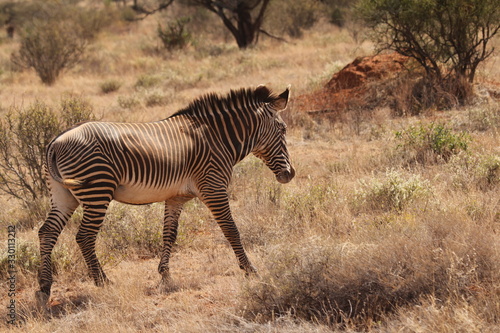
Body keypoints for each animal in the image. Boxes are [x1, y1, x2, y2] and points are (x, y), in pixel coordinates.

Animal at [37, 85, 294, 300]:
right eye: (283, 129)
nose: (289, 174)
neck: (217, 138)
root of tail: (55, 142)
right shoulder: (213, 187)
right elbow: (231, 230)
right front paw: (250, 270)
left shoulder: (175, 197)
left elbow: (169, 234)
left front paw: (165, 275)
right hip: (97, 190)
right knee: (85, 236)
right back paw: (103, 282)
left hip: (64, 195)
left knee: (47, 232)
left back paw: (44, 286)